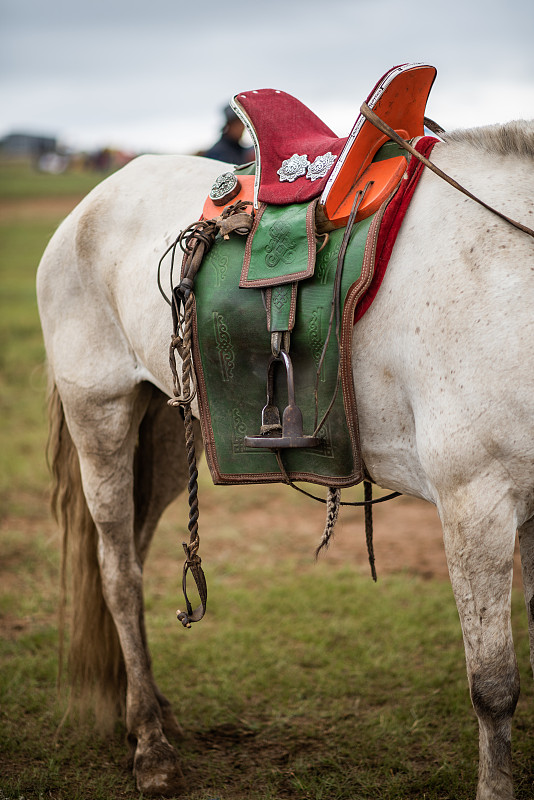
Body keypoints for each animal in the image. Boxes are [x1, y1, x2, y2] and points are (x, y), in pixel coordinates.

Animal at [36, 120, 534, 800]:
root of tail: (92, 202)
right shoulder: (475, 500)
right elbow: (494, 687)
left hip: (162, 431)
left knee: (132, 552)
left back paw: (149, 714)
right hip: (101, 413)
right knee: (118, 574)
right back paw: (152, 748)